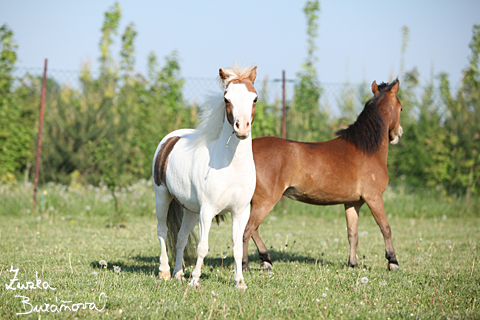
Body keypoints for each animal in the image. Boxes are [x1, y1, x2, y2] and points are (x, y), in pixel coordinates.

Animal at [153, 64, 258, 288]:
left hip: (191, 210)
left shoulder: (240, 212)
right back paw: (164, 271)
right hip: (162, 197)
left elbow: (238, 247)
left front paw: (240, 282)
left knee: (181, 237)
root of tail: (169, 140)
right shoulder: (207, 211)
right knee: (162, 232)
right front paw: (194, 280)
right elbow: (203, 247)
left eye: (254, 98)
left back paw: (178, 273)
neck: (231, 166)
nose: (242, 127)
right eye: (226, 99)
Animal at [242, 79, 404, 272]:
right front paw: (393, 262)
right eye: (401, 108)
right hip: (265, 201)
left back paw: (266, 259)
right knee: (247, 230)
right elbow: (385, 227)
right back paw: (244, 265)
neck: (366, 148)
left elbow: (353, 233)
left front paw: (353, 263)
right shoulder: (374, 198)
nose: (398, 134)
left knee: (253, 229)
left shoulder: (352, 203)